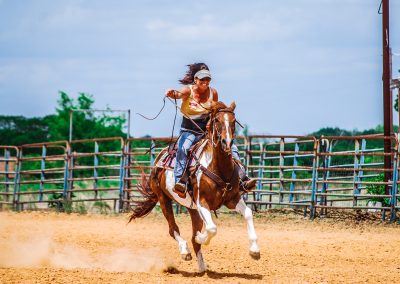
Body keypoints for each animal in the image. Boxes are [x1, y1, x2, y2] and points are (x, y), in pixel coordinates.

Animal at [128, 101, 260, 272]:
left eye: (233, 121)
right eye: (216, 120)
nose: (227, 142)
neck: (217, 167)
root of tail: (159, 158)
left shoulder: (233, 199)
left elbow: (248, 213)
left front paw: (255, 250)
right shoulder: (202, 202)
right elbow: (211, 229)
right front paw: (200, 237)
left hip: (193, 209)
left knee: (192, 238)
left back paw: (202, 267)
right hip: (164, 199)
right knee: (173, 229)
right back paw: (185, 252)